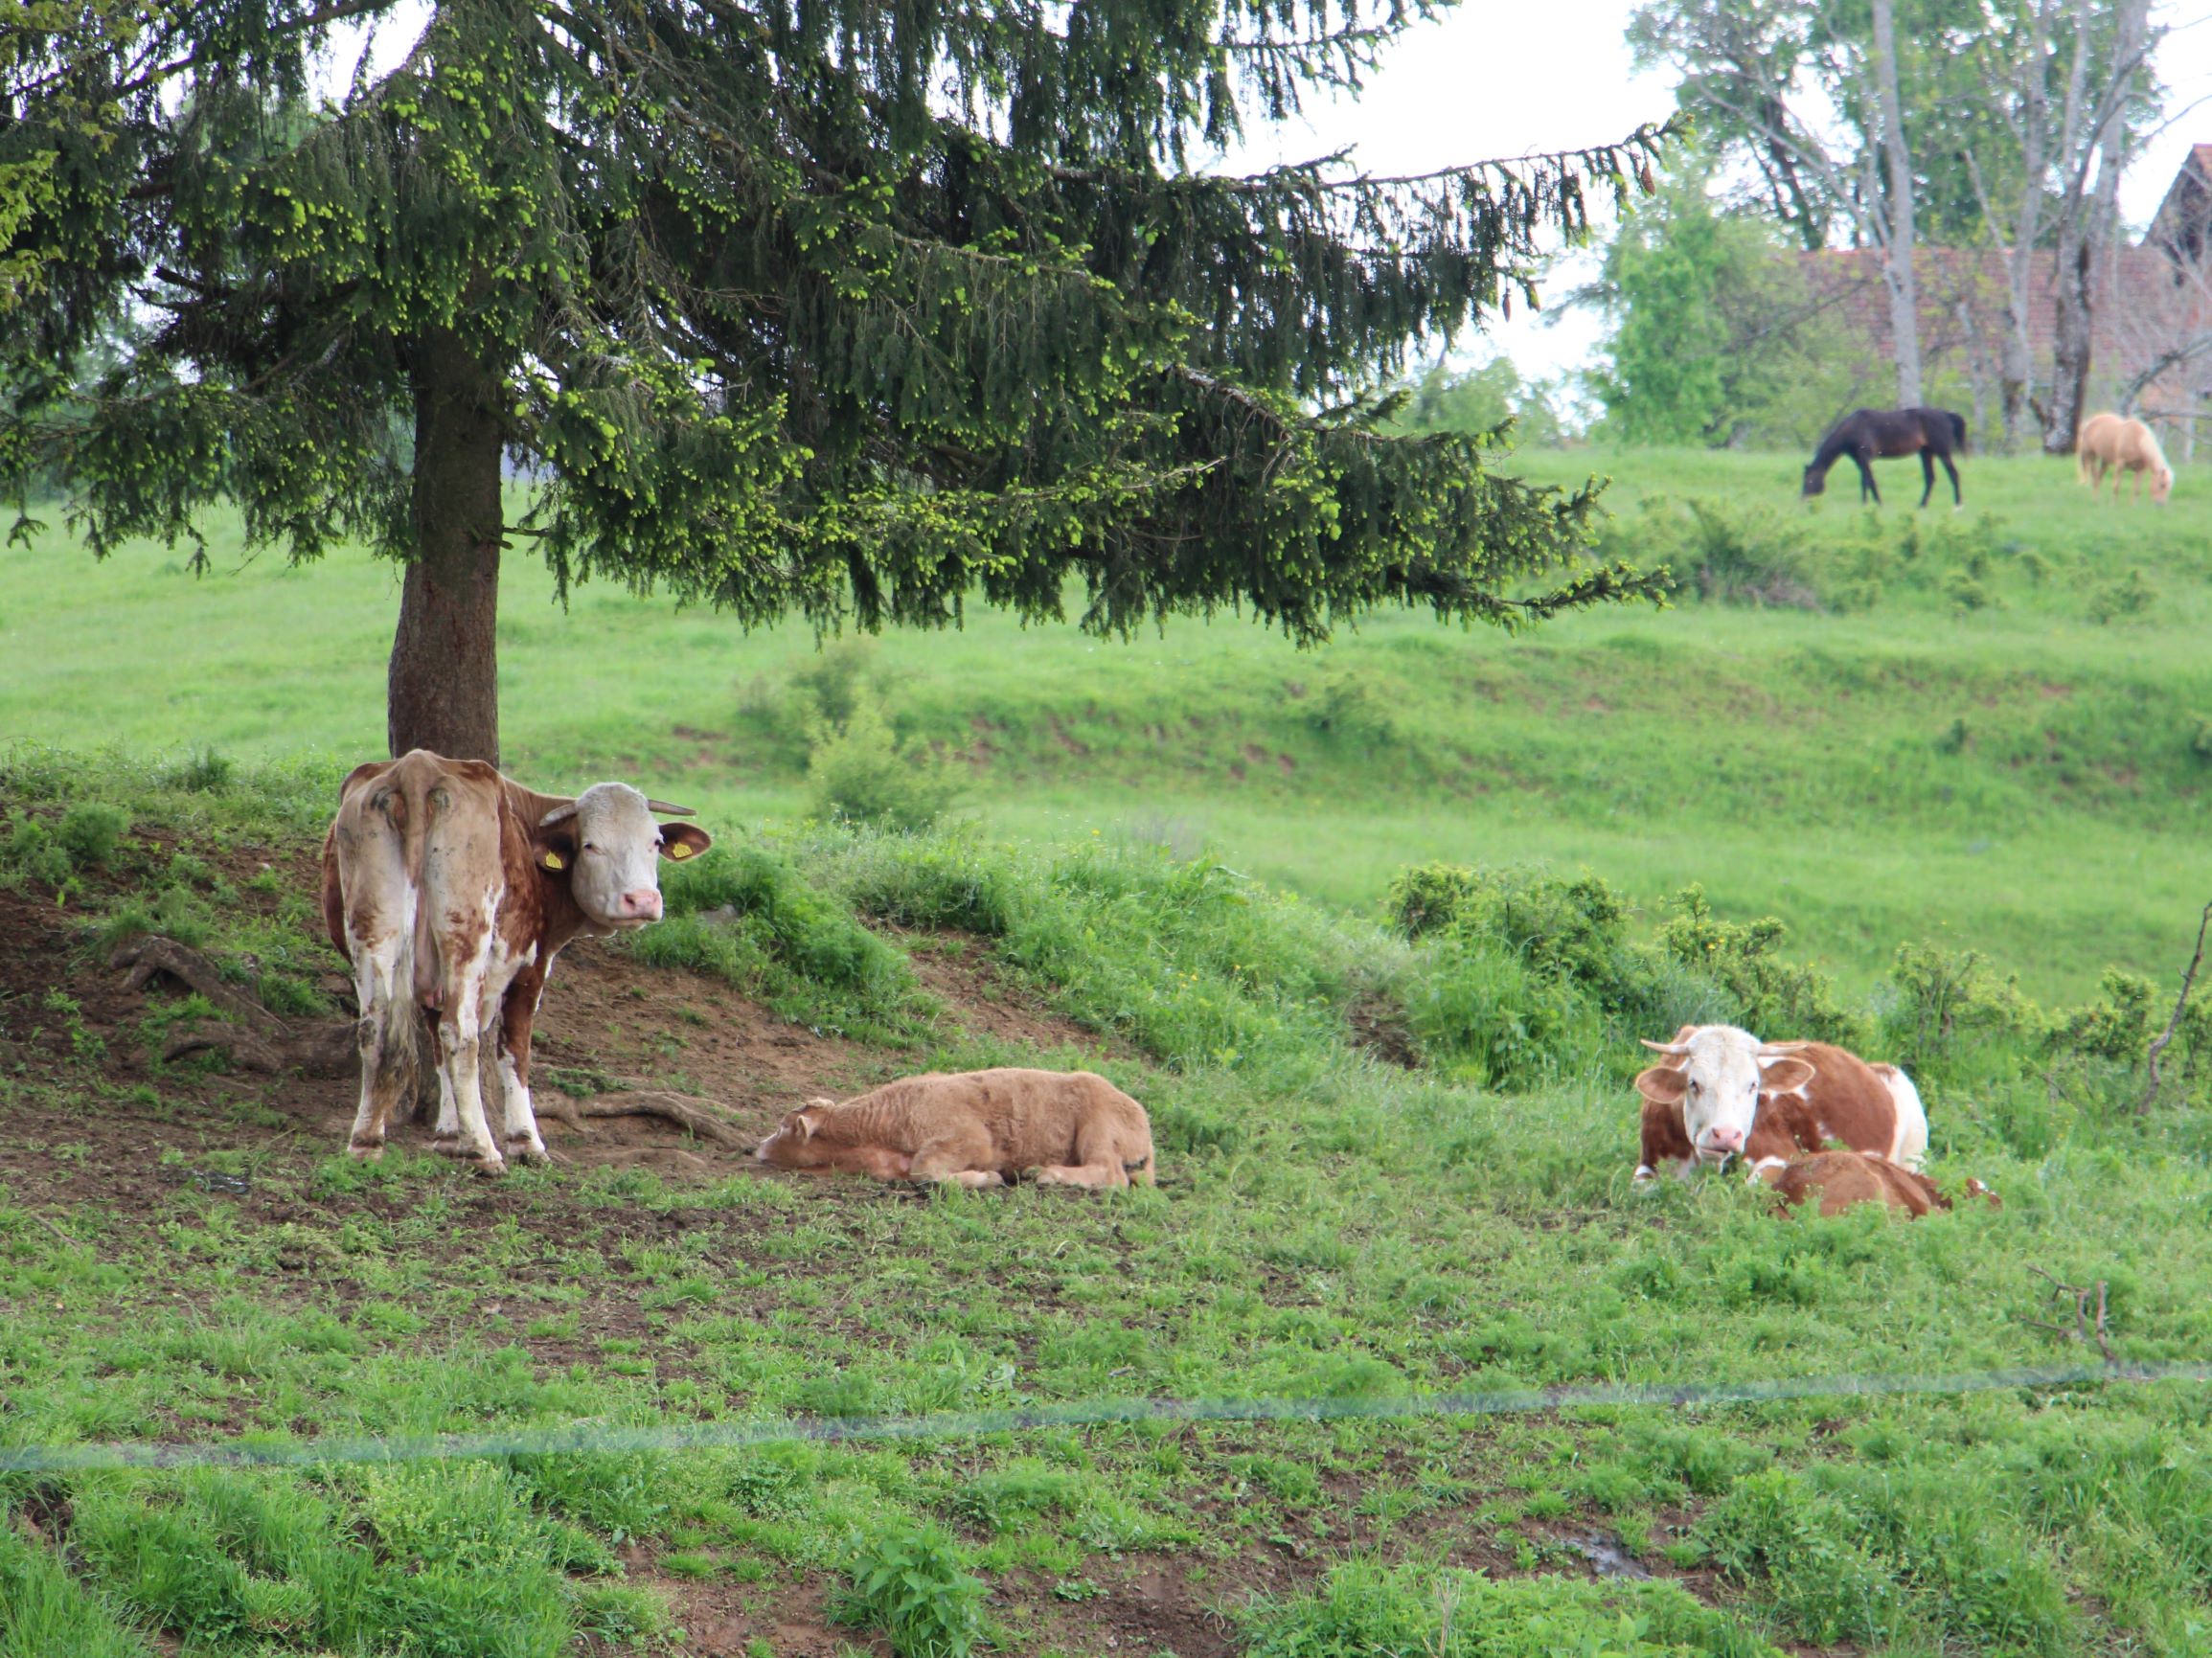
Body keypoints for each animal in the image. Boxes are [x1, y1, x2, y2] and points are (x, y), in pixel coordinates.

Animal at [320, 747, 707, 1175]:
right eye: (590, 845)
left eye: (655, 841)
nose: (642, 900)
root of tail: (417, 765)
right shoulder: (530, 968)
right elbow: (515, 1052)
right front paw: (524, 1141)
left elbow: (435, 1047)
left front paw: (449, 1135)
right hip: (466, 932)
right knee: (461, 1034)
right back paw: (485, 1151)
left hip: (373, 929)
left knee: (377, 1028)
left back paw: (366, 1141)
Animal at [756, 1065, 1150, 1193]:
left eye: (783, 1127)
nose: (756, 1147)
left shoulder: (969, 1140)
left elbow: (925, 1170)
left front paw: (989, 1178)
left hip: (1099, 1131)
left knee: (1111, 1174)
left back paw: (1045, 1173)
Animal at [1636, 1025, 1928, 1185]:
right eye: (1693, 1083)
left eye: (1753, 1085)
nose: (1727, 1135)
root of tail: (1879, 1069)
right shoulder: (1648, 1163)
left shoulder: (1779, 1155)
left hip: (1914, 1155)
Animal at [1795, 406, 1973, 506]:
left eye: (1809, 480)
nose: (1803, 500)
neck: (1853, 429)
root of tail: (1947, 414)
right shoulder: (1859, 460)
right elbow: (1868, 481)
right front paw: (1873, 503)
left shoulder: (1865, 457)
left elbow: (1867, 480)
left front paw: (1869, 504)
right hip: (1926, 452)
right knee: (1930, 478)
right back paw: (1921, 505)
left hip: (1942, 452)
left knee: (1953, 474)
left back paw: (1957, 504)